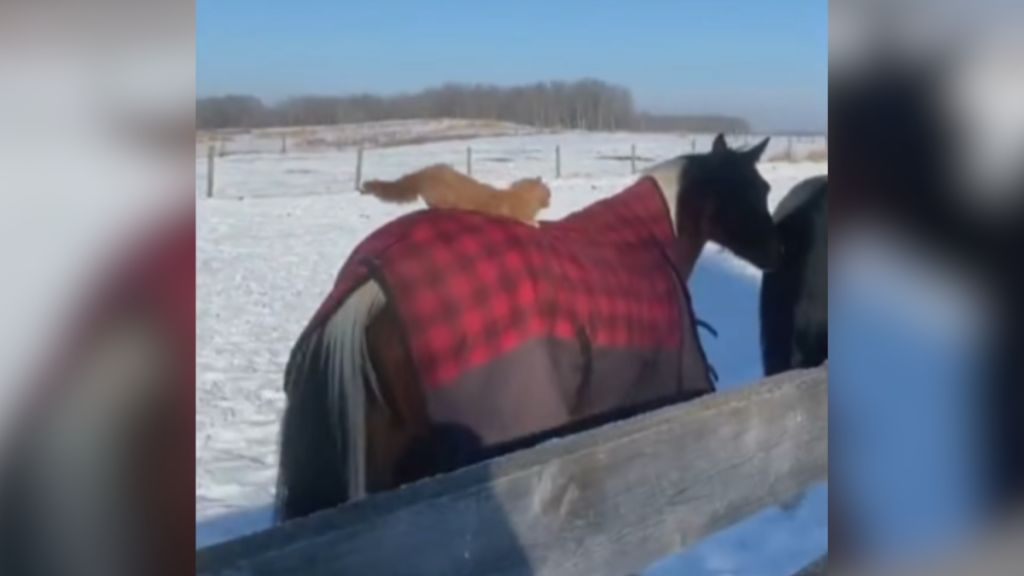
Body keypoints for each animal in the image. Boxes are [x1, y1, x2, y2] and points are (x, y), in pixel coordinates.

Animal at [360, 162, 552, 225]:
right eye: (550, 193)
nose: (551, 202)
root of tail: (424, 174)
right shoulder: (519, 212)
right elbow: (524, 219)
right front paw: (535, 224)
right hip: (441, 195)